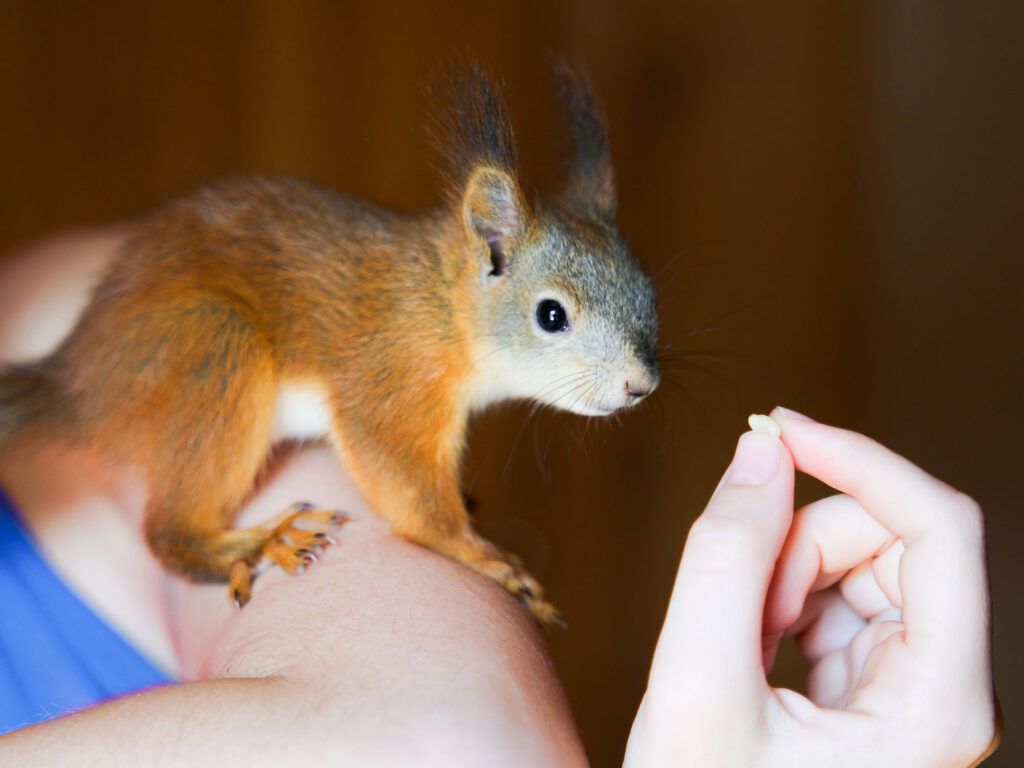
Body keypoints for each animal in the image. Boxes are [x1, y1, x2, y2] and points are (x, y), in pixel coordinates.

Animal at [0, 64, 659, 628]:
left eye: (648, 289)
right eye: (551, 315)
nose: (641, 385)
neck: (443, 308)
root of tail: (78, 384)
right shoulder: (390, 381)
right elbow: (405, 488)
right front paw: (483, 556)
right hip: (212, 350)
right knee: (168, 534)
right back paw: (255, 542)